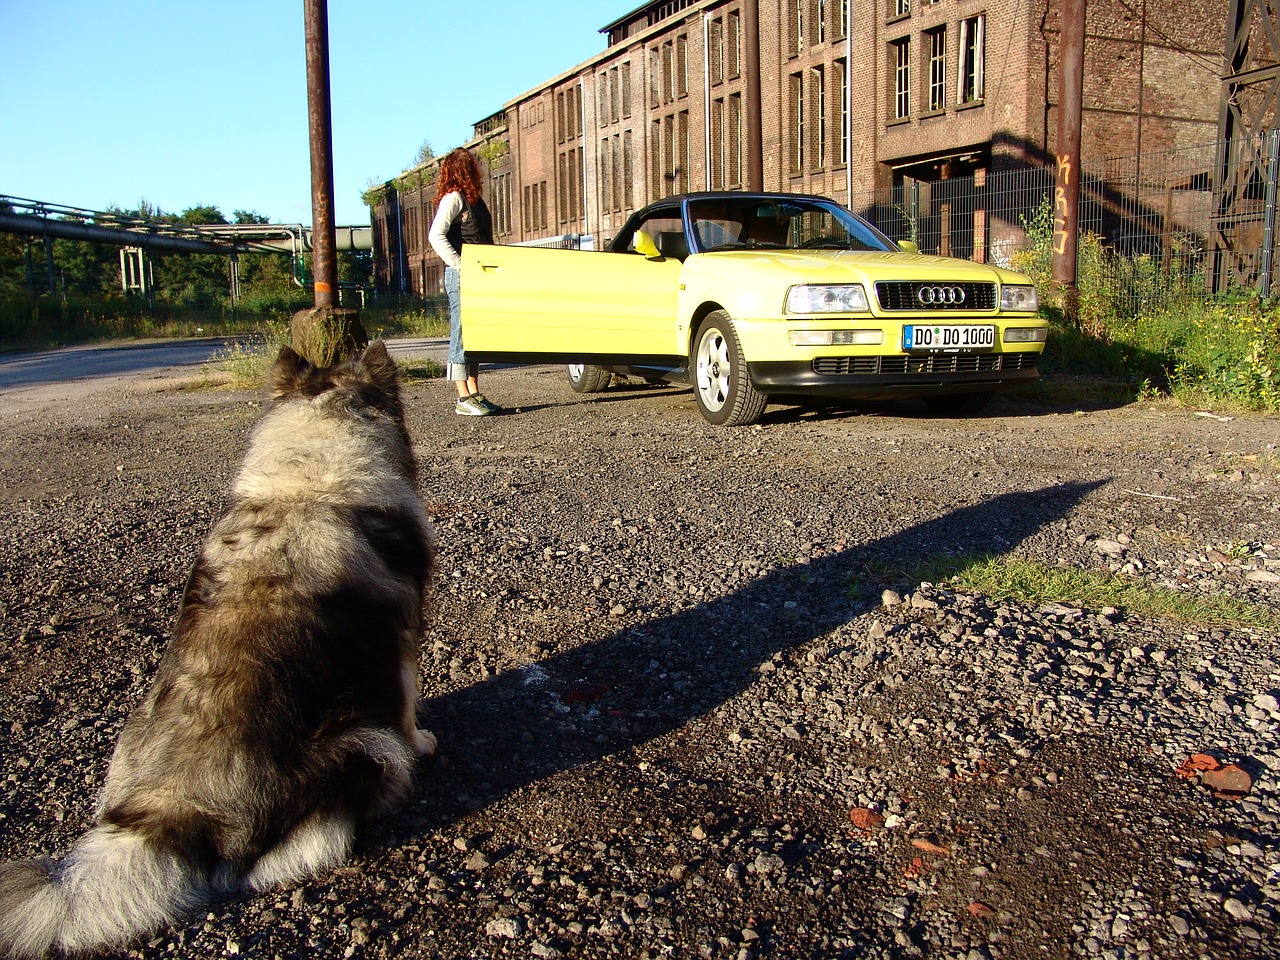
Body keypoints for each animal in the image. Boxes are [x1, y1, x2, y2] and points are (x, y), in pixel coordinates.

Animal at [0, 343, 435, 957]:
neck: (312, 485)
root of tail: (168, 814)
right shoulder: (400, 641)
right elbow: (406, 706)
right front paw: (425, 742)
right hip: (363, 745)